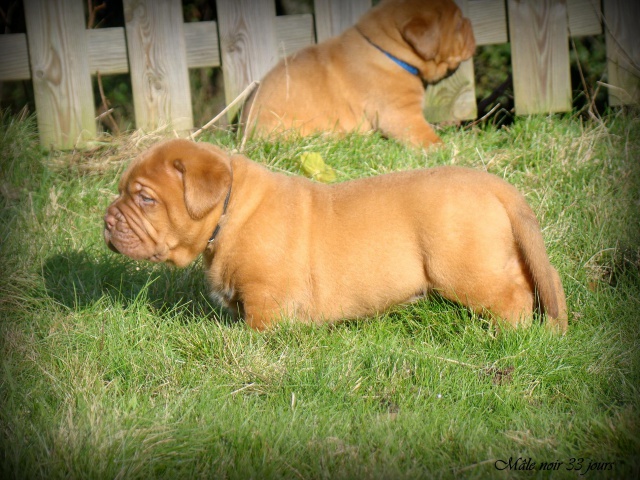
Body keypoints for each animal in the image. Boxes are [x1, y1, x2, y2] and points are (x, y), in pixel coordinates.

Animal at [105, 140, 568, 334]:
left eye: (145, 198)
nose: (107, 221)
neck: (229, 212)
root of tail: (497, 185)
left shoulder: (266, 297)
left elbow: (256, 328)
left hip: (465, 267)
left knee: (513, 297)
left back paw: (508, 335)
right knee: (538, 279)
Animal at [242, 0, 478, 148]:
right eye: (458, 23)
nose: (470, 22)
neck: (387, 50)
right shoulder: (401, 114)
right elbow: (424, 135)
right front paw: (443, 149)